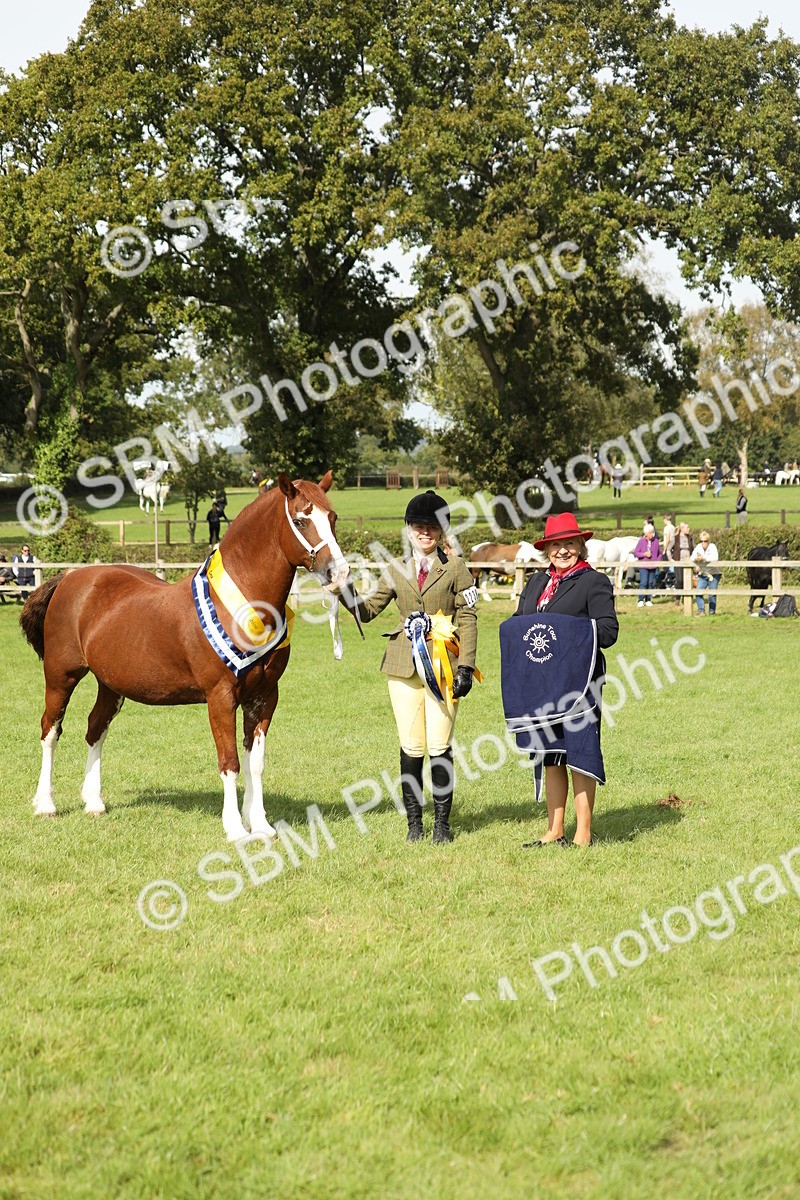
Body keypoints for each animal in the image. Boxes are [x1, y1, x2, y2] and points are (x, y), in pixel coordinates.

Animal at [19, 472, 350, 842]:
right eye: (301, 520)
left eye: (333, 518)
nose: (338, 573)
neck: (241, 605)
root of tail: (69, 577)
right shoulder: (220, 696)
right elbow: (230, 761)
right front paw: (236, 829)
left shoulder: (264, 696)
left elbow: (255, 762)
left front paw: (260, 824)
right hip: (61, 676)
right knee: (50, 730)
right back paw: (46, 804)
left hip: (110, 685)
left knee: (95, 729)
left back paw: (94, 802)